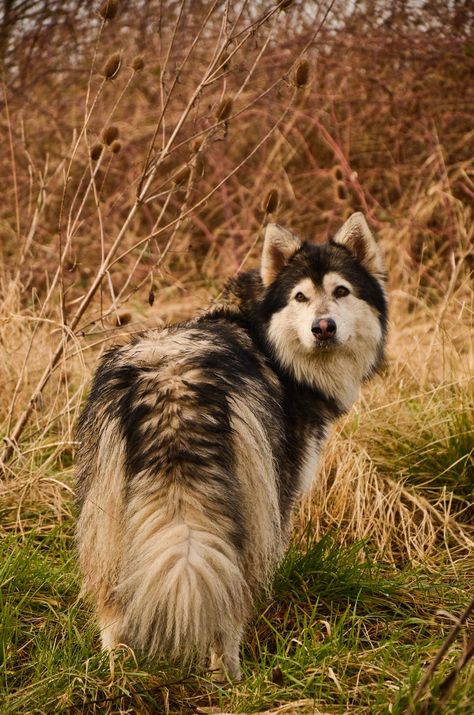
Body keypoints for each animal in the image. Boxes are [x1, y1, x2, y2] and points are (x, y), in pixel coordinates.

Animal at [77, 211, 388, 684]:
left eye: (341, 291)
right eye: (300, 297)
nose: (322, 327)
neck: (265, 337)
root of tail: (170, 380)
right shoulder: (281, 496)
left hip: (107, 520)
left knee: (112, 610)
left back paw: (120, 676)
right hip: (250, 516)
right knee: (227, 605)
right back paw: (230, 679)